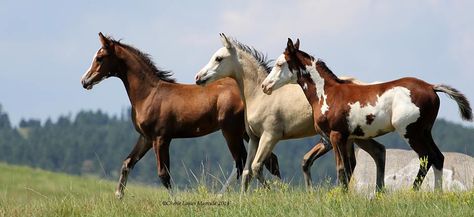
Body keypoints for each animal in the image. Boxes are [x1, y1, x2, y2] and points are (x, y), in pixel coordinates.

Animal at [80, 32, 282, 198]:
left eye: (100, 57)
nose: (84, 81)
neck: (149, 94)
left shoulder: (161, 138)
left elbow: (163, 174)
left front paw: (174, 201)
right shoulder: (146, 138)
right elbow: (127, 163)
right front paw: (118, 196)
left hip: (231, 132)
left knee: (240, 163)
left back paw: (222, 196)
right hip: (247, 132)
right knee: (268, 160)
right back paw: (275, 191)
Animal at [194, 33, 386, 192]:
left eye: (219, 58)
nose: (198, 77)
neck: (258, 95)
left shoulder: (270, 136)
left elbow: (256, 167)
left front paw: (275, 194)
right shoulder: (254, 138)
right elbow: (248, 172)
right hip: (356, 135)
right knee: (376, 152)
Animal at [262, 38, 474, 190]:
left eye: (280, 64)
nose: (265, 86)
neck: (328, 93)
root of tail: (431, 87)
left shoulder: (336, 136)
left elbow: (341, 170)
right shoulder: (346, 139)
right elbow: (348, 169)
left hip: (411, 132)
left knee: (426, 158)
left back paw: (413, 192)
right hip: (425, 132)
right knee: (438, 158)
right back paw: (436, 194)